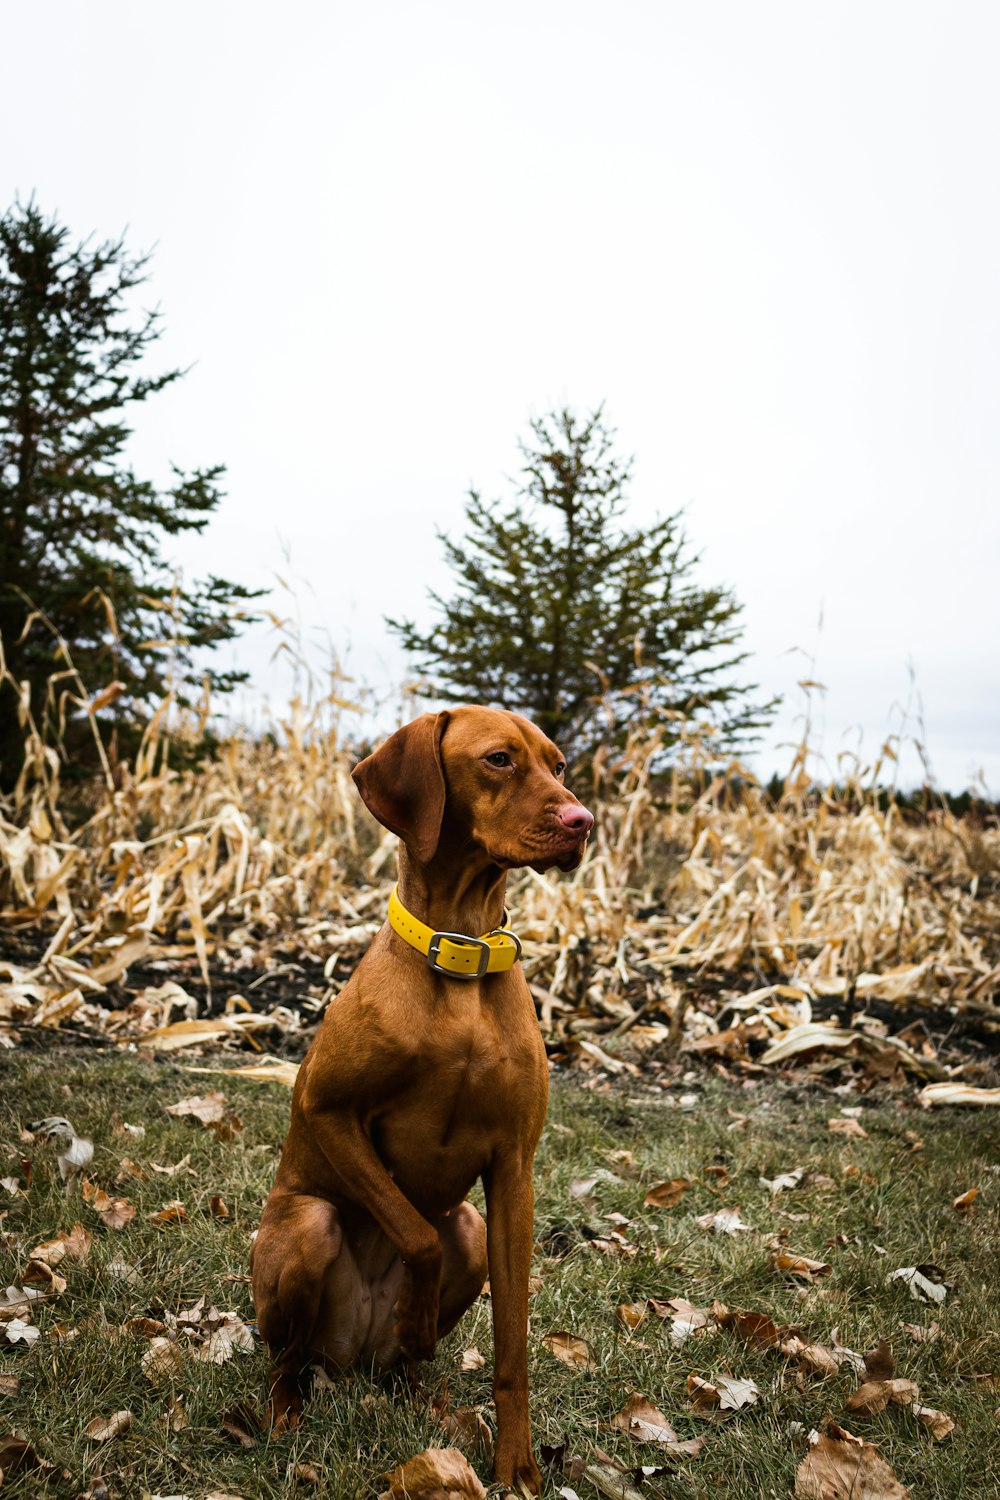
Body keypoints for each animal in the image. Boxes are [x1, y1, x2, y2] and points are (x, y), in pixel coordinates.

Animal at [251, 702, 593, 1488]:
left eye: (558, 764)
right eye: (498, 759)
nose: (583, 821)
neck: (461, 961)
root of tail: (349, 1355)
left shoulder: (514, 1172)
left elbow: (512, 1343)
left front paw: (516, 1465)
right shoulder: (327, 1111)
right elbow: (412, 1232)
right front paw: (415, 1310)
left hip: (469, 1228)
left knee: (408, 1351)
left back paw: (420, 1393)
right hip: (306, 1229)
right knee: (287, 1358)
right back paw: (289, 1409)